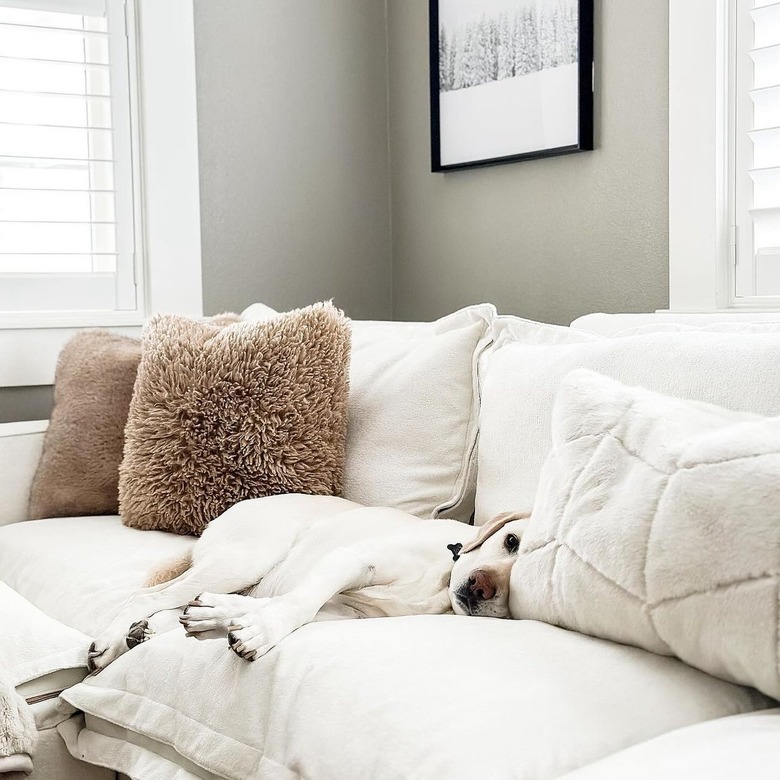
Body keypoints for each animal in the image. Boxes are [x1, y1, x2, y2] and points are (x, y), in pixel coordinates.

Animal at [88, 494, 532, 672]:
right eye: (512, 541)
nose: (482, 587)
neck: (440, 579)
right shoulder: (352, 561)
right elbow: (298, 605)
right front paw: (261, 633)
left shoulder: (348, 610)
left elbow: (283, 606)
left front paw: (215, 617)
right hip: (245, 560)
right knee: (148, 594)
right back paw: (110, 643)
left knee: (174, 600)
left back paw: (150, 629)